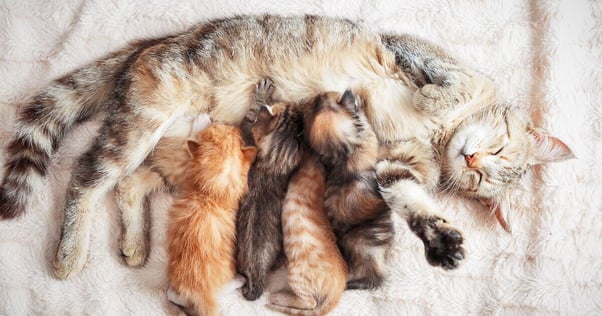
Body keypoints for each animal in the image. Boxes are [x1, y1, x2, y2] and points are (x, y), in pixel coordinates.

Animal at [166, 123, 255, 316]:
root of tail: (201, 295)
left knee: (176, 297)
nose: (233, 126)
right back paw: (240, 280)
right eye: (232, 131)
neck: (210, 193)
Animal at [232, 79, 302, 302]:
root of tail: (256, 273)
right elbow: (249, 120)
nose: (298, 104)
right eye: (290, 107)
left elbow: (248, 120)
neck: (272, 162)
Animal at [302, 89, 396, 288]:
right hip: (369, 246)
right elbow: (365, 123)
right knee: (376, 275)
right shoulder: (369, 137)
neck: (345, 153)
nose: (318, 95)